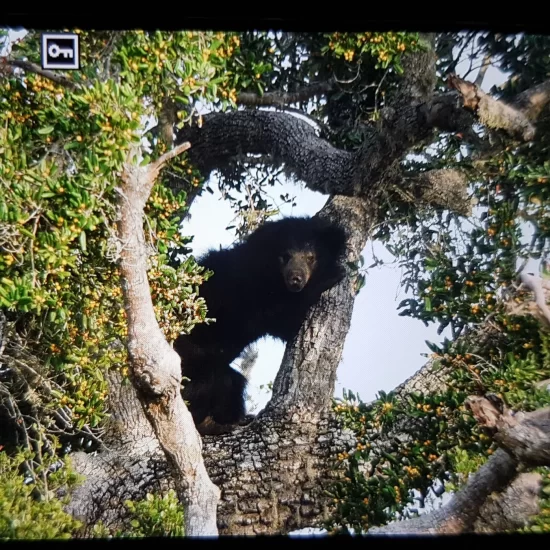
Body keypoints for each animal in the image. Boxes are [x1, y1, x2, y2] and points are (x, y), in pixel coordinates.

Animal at [176, 216, 350, 436]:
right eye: (285, 256)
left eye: (311, 258)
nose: (296, 279)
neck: (273, 280)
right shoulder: (245, 294)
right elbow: (281, 318)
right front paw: (332, 275)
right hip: (190, 357)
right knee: (208, 381)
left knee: (230, 382)